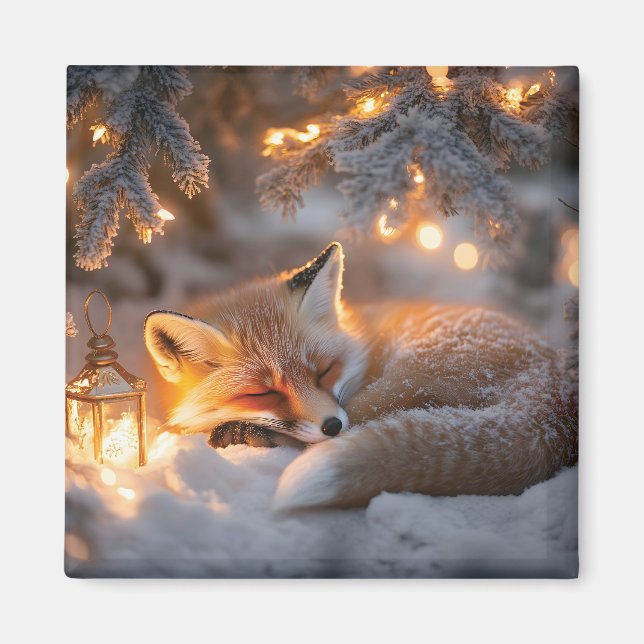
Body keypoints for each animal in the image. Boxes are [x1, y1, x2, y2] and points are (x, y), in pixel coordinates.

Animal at [144, 241, 578, 511]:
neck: (361, 332)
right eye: (261, 393)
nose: (332, 425)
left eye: (323, 371)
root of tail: (554, 403)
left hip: (398, 384)